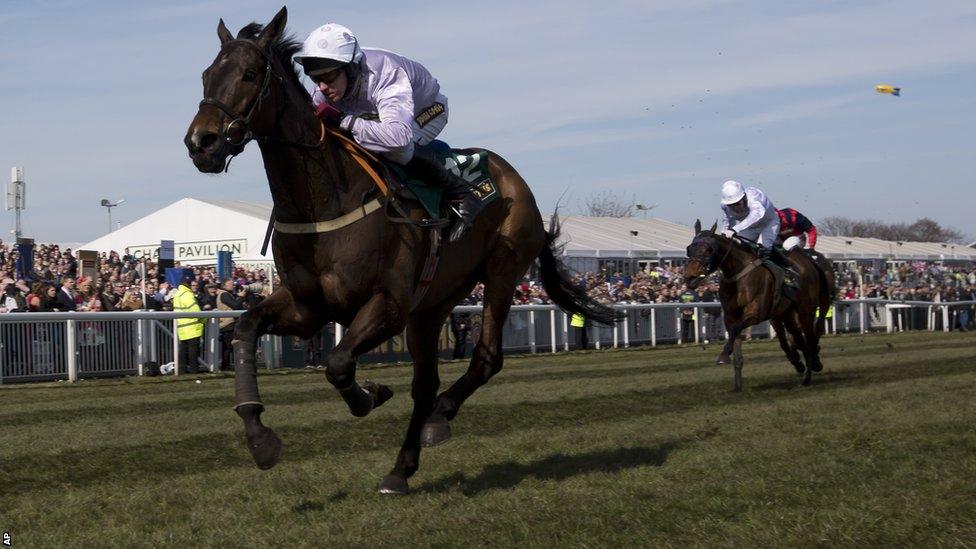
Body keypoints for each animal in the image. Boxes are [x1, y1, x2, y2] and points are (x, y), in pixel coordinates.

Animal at [183, 8, 612, 494]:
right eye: (207, 75)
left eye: (250, 74)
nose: (201, 143)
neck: (326, 199)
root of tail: (513, 178)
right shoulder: (308, 307)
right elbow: (245, 329)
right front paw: (259, 436)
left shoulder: (388, 305)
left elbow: (338, 363)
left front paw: (369, 395)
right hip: (432, 304)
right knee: (425, 383)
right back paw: (401, 467)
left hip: (503, 269)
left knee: (485, 357)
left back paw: (440, 416)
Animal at [684, 218, 836, 390]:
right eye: (689, 249)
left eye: (709, 249)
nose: (689, 277)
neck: (738, 275)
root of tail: (809, 261)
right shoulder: (731, 316)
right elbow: (736, 340)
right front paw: (737, 385)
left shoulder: (757, 313)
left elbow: (737, 329)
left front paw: (723, 355)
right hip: (787, 313)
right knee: (798, 337)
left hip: (806, 310)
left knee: (811, 339)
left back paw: (808, 376)